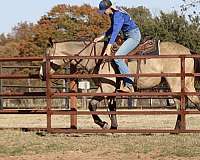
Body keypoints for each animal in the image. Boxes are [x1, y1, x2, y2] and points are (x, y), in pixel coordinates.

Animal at [39, 40, 200, 129]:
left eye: (46, 56)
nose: (41, 75)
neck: (98, 56)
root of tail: (187, 51)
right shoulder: (111, 89)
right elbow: (112, 108)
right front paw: (113, 126)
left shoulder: (106, 87)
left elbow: (92, 104)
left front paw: (103, 124)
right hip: (187, 83)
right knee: (192, 101)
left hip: (175, 83)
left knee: (181, 104)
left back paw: (177, 129)